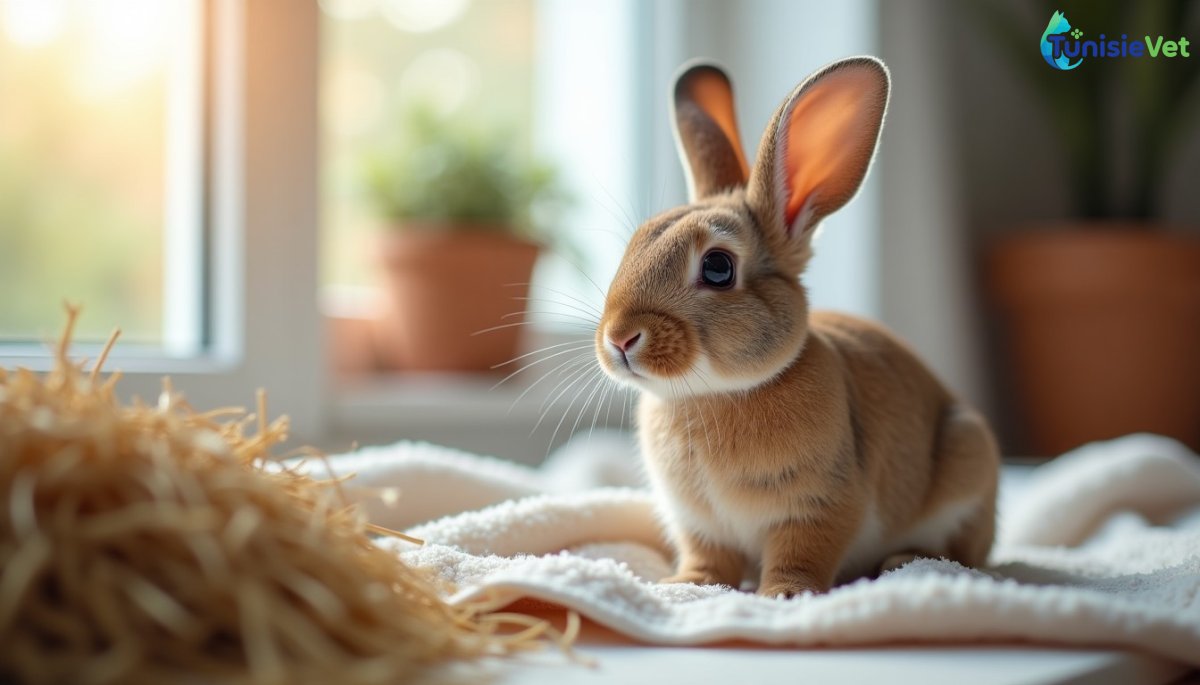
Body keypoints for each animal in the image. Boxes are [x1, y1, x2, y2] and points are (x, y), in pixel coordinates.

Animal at [594, 56, 999, 597]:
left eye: (718, 268)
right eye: (635, 243)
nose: (619, 338)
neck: (712, 394)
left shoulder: (818, 506)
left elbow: (799, 554)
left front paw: (783, 594)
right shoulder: (699, 524)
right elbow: (708, 558)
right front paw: (686, 584)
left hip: (966, 462)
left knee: (962, 554)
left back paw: (904, 560)